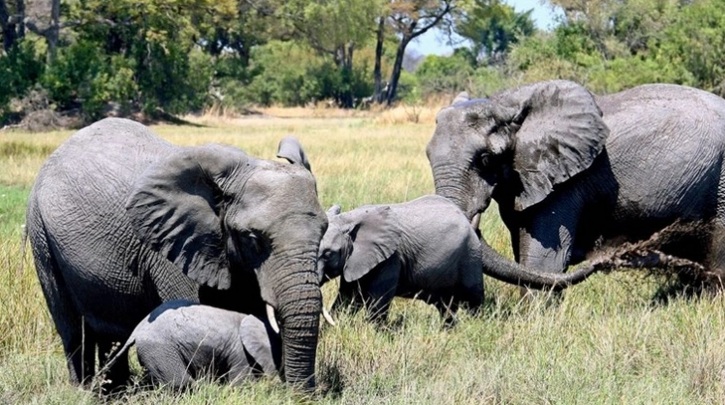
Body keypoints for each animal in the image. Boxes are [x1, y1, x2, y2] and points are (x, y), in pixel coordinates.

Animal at [318, 194, 484, 324]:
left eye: (328, 254)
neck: (349, 219)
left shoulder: (390, 259)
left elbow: (378, 302)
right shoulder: (355, 261)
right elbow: (347, 297)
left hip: (470, 255)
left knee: (473, 300)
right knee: (446, 307)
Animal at [428, 80, 724, 284]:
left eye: (486, 159)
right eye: (428, 155)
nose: (615, 256)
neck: (506, 105)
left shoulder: (565, 186)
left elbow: (542, 263)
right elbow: (522, 258)